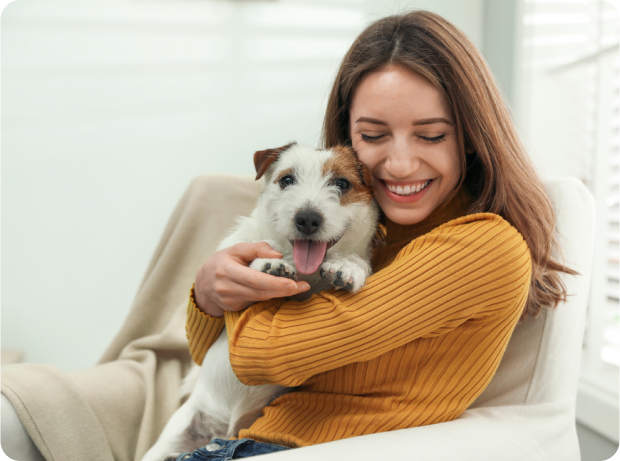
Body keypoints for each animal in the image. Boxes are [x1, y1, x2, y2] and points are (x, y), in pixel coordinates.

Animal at [142, 142, 378, 458]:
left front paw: (348, 266)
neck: (306, 271)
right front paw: (269, 261)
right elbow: (256, 245)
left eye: (342, 183)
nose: (307, 219)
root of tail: (222, 431)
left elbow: (356, 261)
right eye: (287, 179)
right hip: (174, 435)